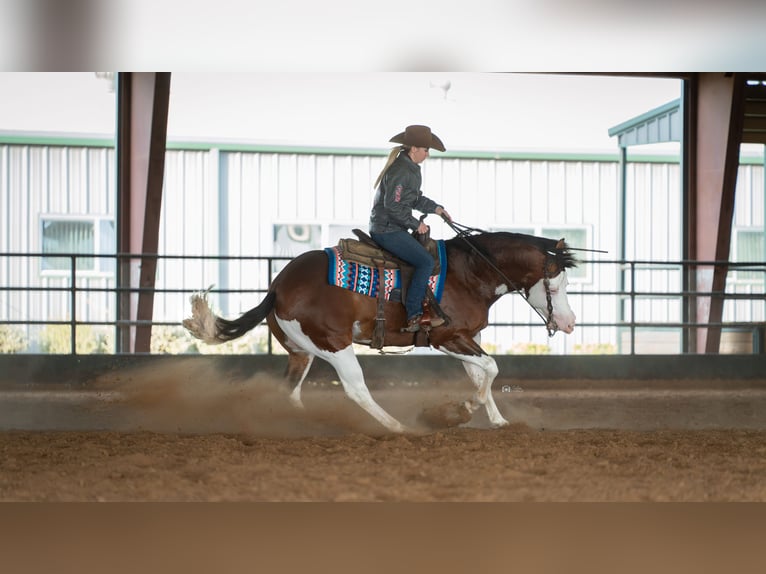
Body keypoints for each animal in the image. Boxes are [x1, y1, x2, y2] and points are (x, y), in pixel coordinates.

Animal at [184, 227, 576, 434]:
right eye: (555, 286)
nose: (569, 323)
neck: (470, 274)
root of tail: (278, 285)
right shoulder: (446, 338)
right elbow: (491, 368)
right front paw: (462, 409)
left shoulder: (469, 337)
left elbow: (482, 374)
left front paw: (497, 419)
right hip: (334, 345)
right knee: (355, 389)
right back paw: (397, 426)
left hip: (302, 350)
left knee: (291, 391)